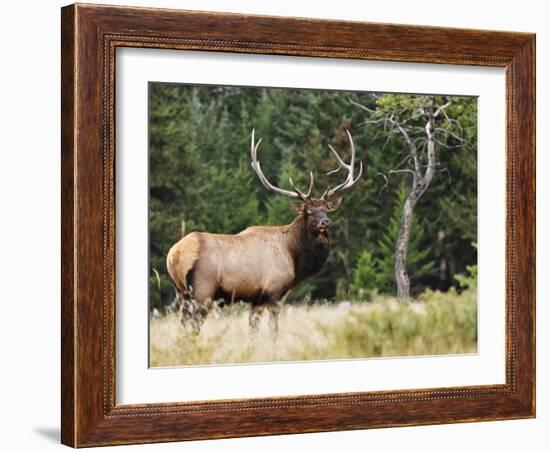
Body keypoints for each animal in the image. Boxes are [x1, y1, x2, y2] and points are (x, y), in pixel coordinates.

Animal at [168, 129, 366, 334]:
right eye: (308, 212)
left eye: (327, 210)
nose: (325, 222)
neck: (293, 256)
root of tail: (175, 255)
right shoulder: (274, 291)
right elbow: (273, 329)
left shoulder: (256, 299)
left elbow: (253, 330)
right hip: (202, 290)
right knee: (193, 326)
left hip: (181, 292)